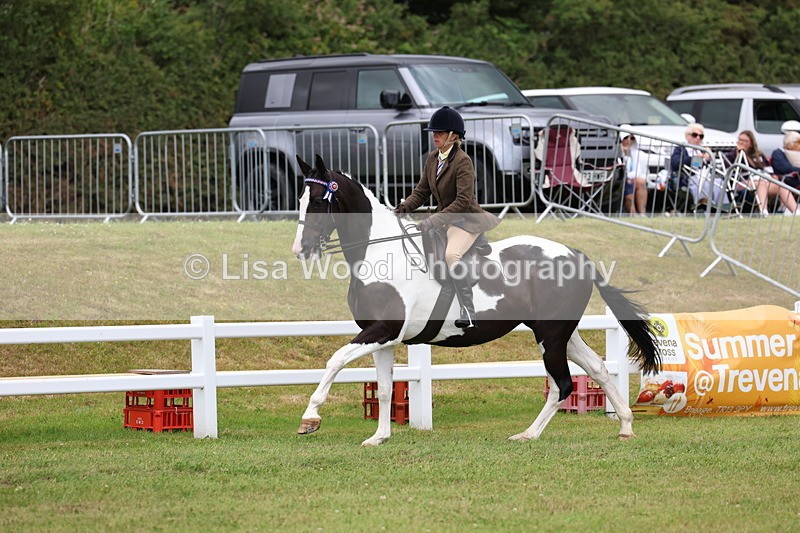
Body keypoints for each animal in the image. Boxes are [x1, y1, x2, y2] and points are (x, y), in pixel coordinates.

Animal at [292, 154, 660, 446]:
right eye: (299, 199)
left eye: (319, 202)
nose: (301, 250)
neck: (378, 251)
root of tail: (578, 256)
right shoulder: (383, 337)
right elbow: (383, 388)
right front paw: (378, 437)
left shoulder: (383, 329)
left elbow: (335, 361)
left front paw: (310, 418)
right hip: (560, 332)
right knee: (597, 368)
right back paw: (625, 426)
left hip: (550, 335)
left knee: (562, 384)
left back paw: (527, 435)